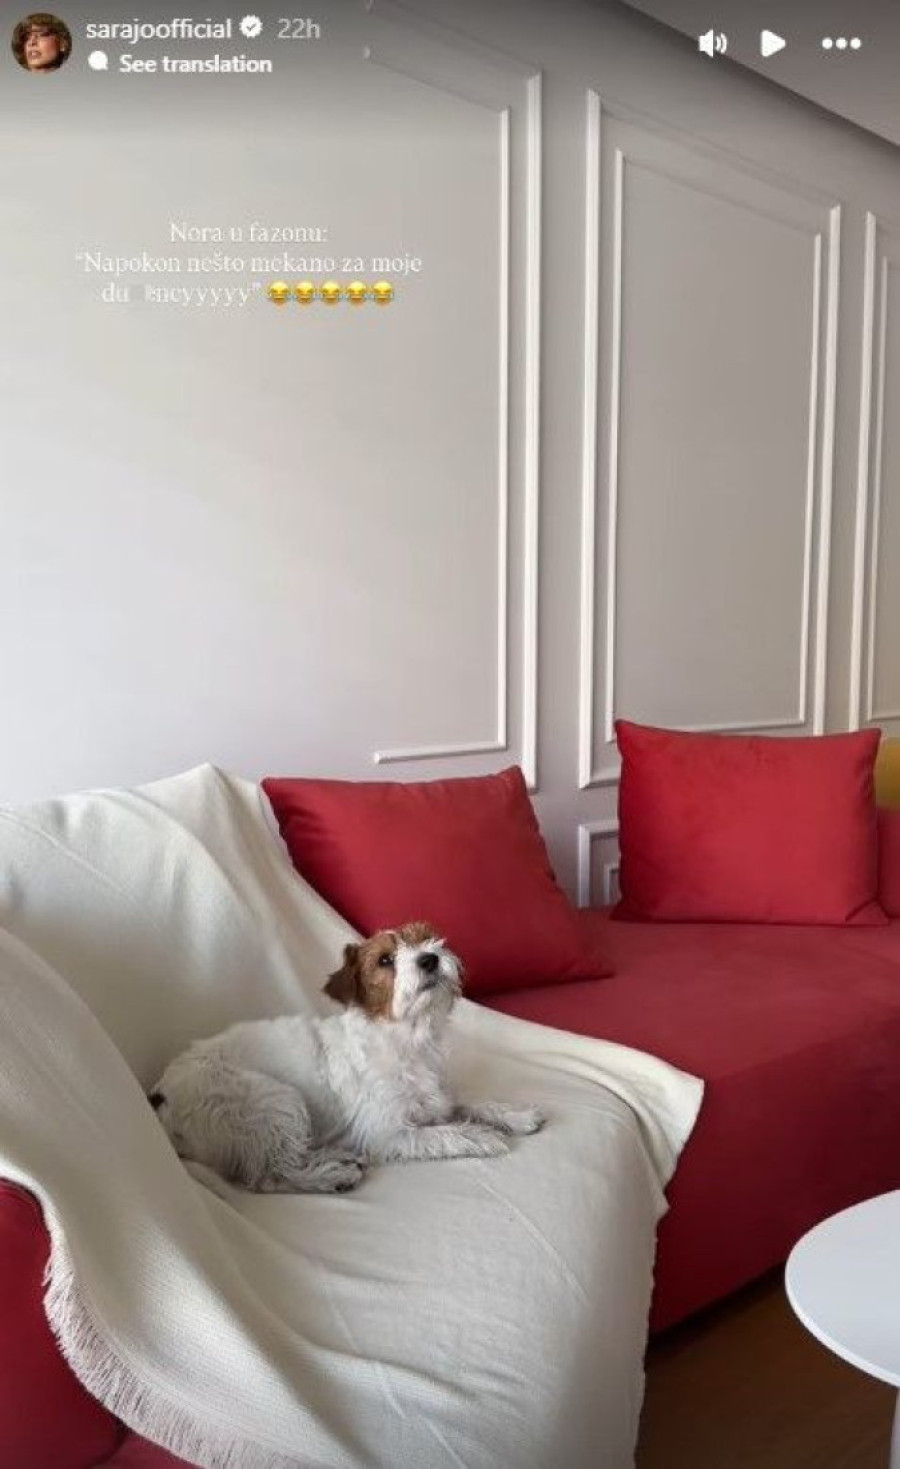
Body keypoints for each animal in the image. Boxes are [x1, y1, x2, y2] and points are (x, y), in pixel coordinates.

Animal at [149, 922, 544, 1195]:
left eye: (424, 937)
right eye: (385, 960)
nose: (430, 958)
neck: (406, 1038)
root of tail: (160, 1096)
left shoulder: (438, 1100)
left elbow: (472, 1104)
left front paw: (515, 1114)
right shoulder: (389, 1132)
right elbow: (444, 1133)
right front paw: (482, 1136)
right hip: (276, 1100)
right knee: (271, 1175)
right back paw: (331, 1175)